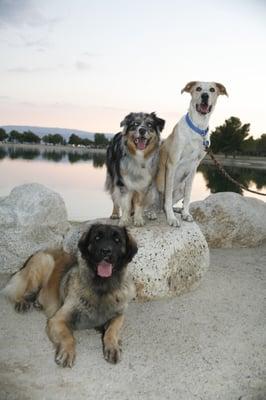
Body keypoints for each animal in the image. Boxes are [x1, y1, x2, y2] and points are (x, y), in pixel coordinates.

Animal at [3, 223, 137, 368]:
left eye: (117, 240)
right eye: (97, 238)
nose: (106, 251)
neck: (101, 288)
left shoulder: (119, 315)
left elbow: (112, 330)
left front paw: (113, 346)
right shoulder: (57, 320)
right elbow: (69, 337)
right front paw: (67, 353)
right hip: (45, 262)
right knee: (23, 291)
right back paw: (22, 302)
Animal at [157, 80, 228, 228]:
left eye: (212, 89)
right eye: (198, 88)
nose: (205, 95)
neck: (198, 128)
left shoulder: (194, 166)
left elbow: (188, 195)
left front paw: (185, 213)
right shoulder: (172, 163)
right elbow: (167, 196)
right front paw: (171, 218)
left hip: (180, 189)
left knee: (165, 205)